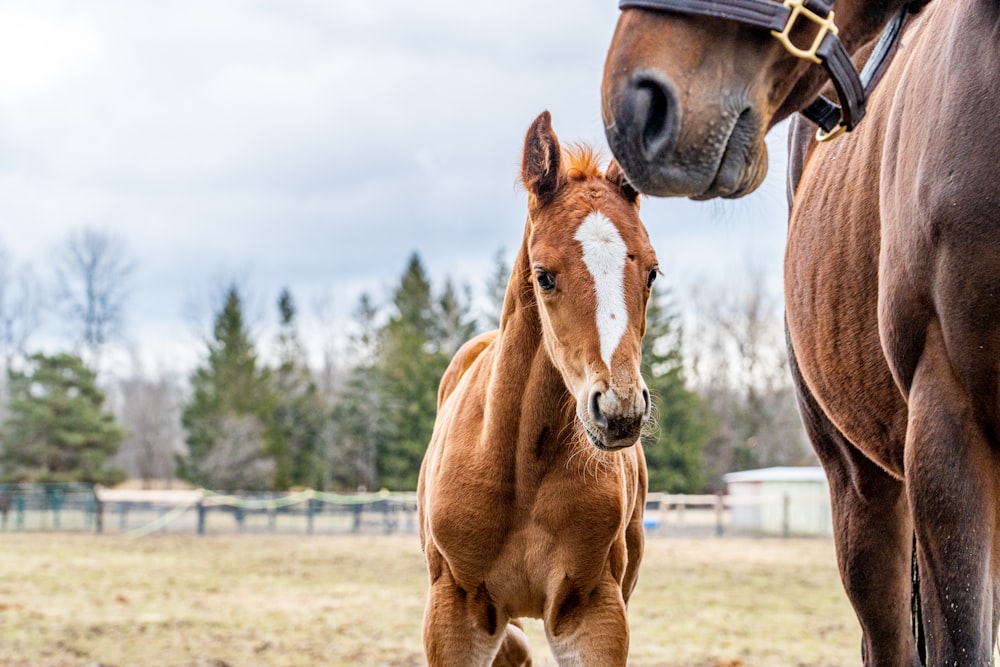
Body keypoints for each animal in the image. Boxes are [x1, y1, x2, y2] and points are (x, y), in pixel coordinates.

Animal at [416, 112, 656, 664]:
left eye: (653, 273)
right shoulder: (454, 612)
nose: (620, 410)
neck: (522, 468)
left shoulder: (593, 611)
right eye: (544, 276)